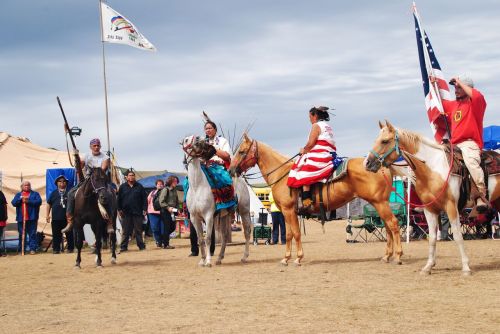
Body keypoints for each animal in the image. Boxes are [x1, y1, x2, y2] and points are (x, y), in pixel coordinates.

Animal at [182, 134, 252, 268]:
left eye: (197, 138)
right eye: (186, 140)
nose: (198, 140)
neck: (197, 186)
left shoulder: (208, 216)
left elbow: (208, 238)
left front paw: (208, 261)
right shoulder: (194, 217)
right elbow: (200, 239)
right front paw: (202, 260)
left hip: (244, 211)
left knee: (247, 232)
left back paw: (245, 257)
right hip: (225, 215)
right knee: (224, 236)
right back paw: (219, 258)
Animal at [229, 133, 402, 266]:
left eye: (242, 151)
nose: (231, 170)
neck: (282, 175)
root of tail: (382, 166)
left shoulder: (289, 211)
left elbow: (296, 234)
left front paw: (298, 258)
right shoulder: (286, 212)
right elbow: (289, 235)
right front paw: (286, 258)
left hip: (380, 203)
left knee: (393, 224)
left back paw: (398, 256)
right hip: (379, 204)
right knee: (387, 227)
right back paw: (387, 256)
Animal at [364, 121, 500, 276]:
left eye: (385, 141)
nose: (367, 163)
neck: (432, 168)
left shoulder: (451, 207)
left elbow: (457, 236)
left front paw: (466, 267)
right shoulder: (429, 209)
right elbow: (432, 238)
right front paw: (428, 266)